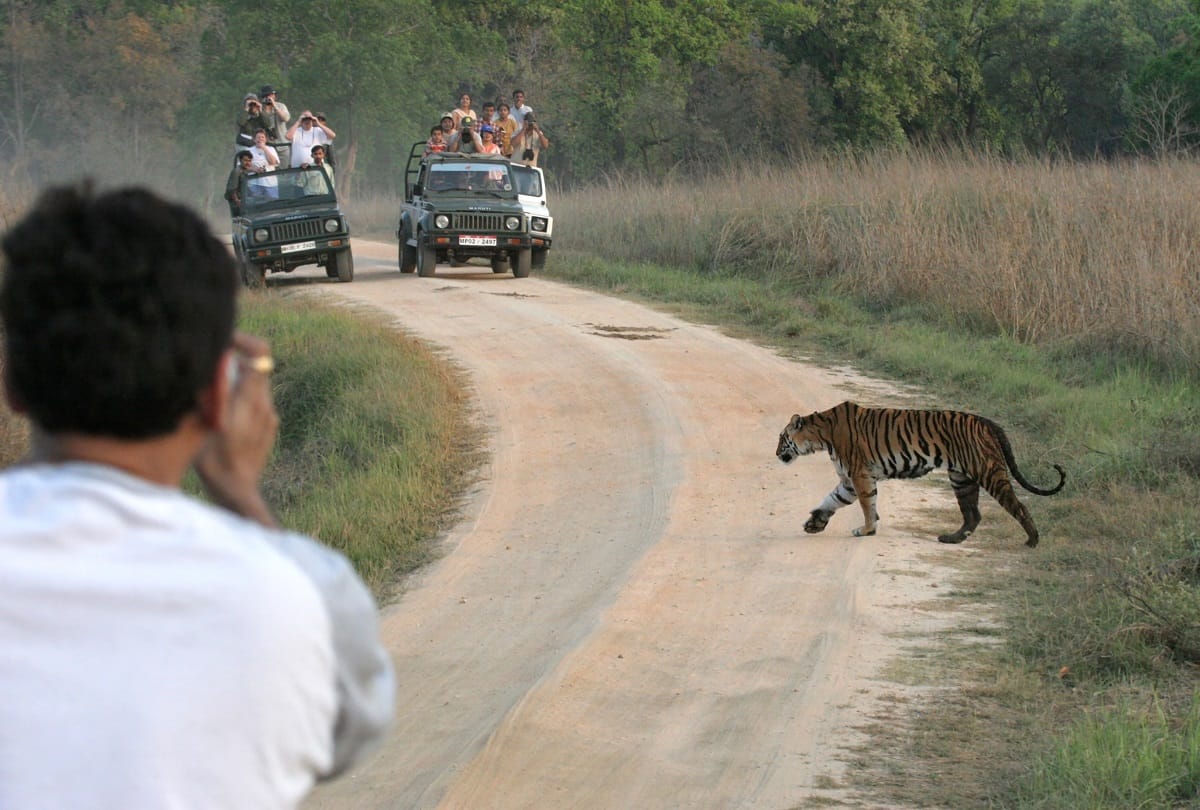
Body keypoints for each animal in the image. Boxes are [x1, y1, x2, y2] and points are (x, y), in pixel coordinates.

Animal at [775, 401, 1066, 547]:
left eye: (781, 438)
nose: (776, 453)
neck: (821, 435)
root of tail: (986, 421)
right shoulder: (848, 480)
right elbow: (832, 500)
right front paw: (815, 523)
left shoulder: (859, 475)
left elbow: (867, 505)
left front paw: (867, 530)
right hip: (961, 479)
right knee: (972, 513)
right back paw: (952, 538)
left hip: (989, 471)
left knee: (1018, 506)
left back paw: (1032, 540)